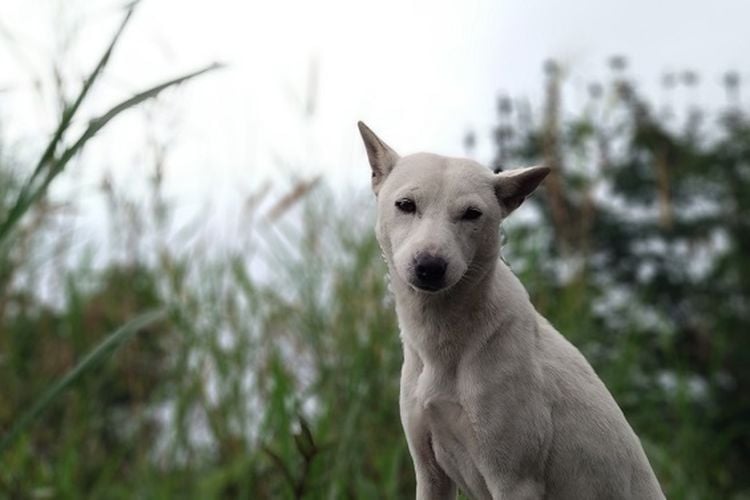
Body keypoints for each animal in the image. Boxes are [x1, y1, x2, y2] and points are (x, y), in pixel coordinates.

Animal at [362, 122, 668, 500]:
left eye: (472, 214)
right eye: (405, 205)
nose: (430, 267)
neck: (446, 343)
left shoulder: (514, 479)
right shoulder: (430, 472)